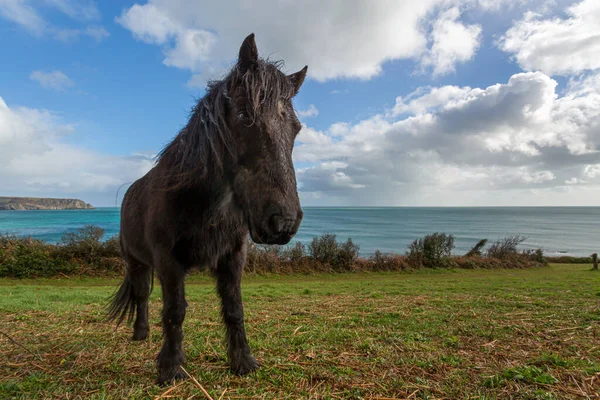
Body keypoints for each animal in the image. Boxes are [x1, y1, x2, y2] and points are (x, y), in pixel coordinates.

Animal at [106, 34, 304, 384]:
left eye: (296, 128)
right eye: (244, 116)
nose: (283, 222)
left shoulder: (233, 257)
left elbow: (234, 309)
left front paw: (242, 361)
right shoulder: (168, 261)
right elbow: (174, 311)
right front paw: (170, 368)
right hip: (136, 262)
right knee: (142, 295)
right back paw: (141, 334)